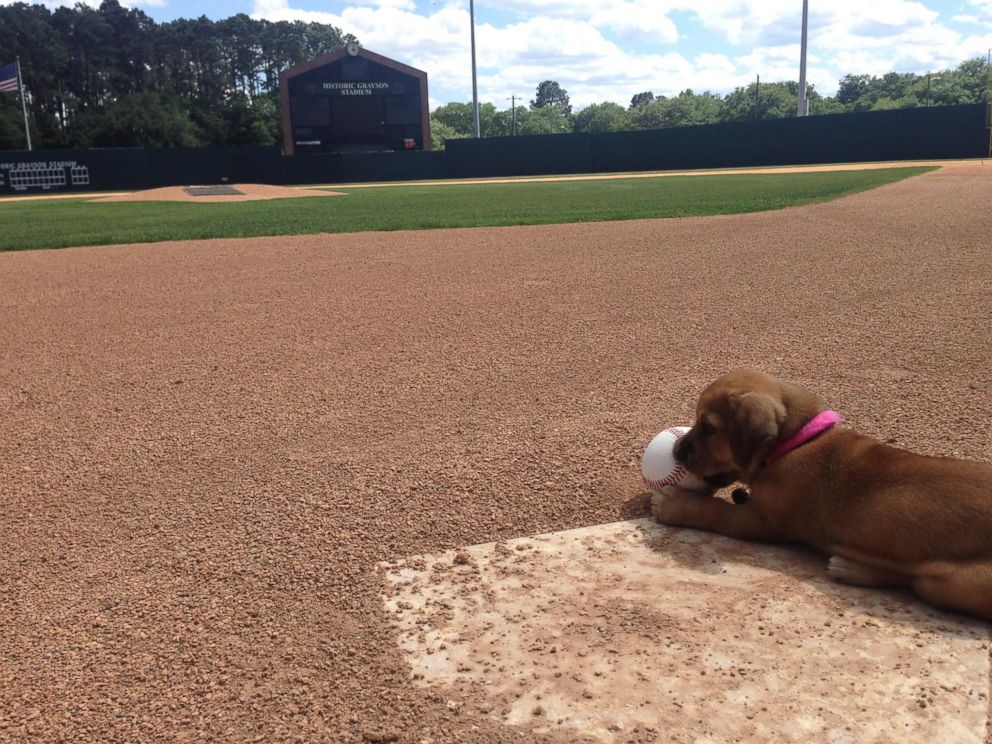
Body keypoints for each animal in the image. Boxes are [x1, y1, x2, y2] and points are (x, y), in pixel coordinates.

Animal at [652, 370, 992, 620]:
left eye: (708, 427)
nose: (677, 450)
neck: (796, 441)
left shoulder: (760, 522)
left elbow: (714, 511)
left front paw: (674, 504)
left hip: (955, 584)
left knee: (913, 580)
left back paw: (854, 569)